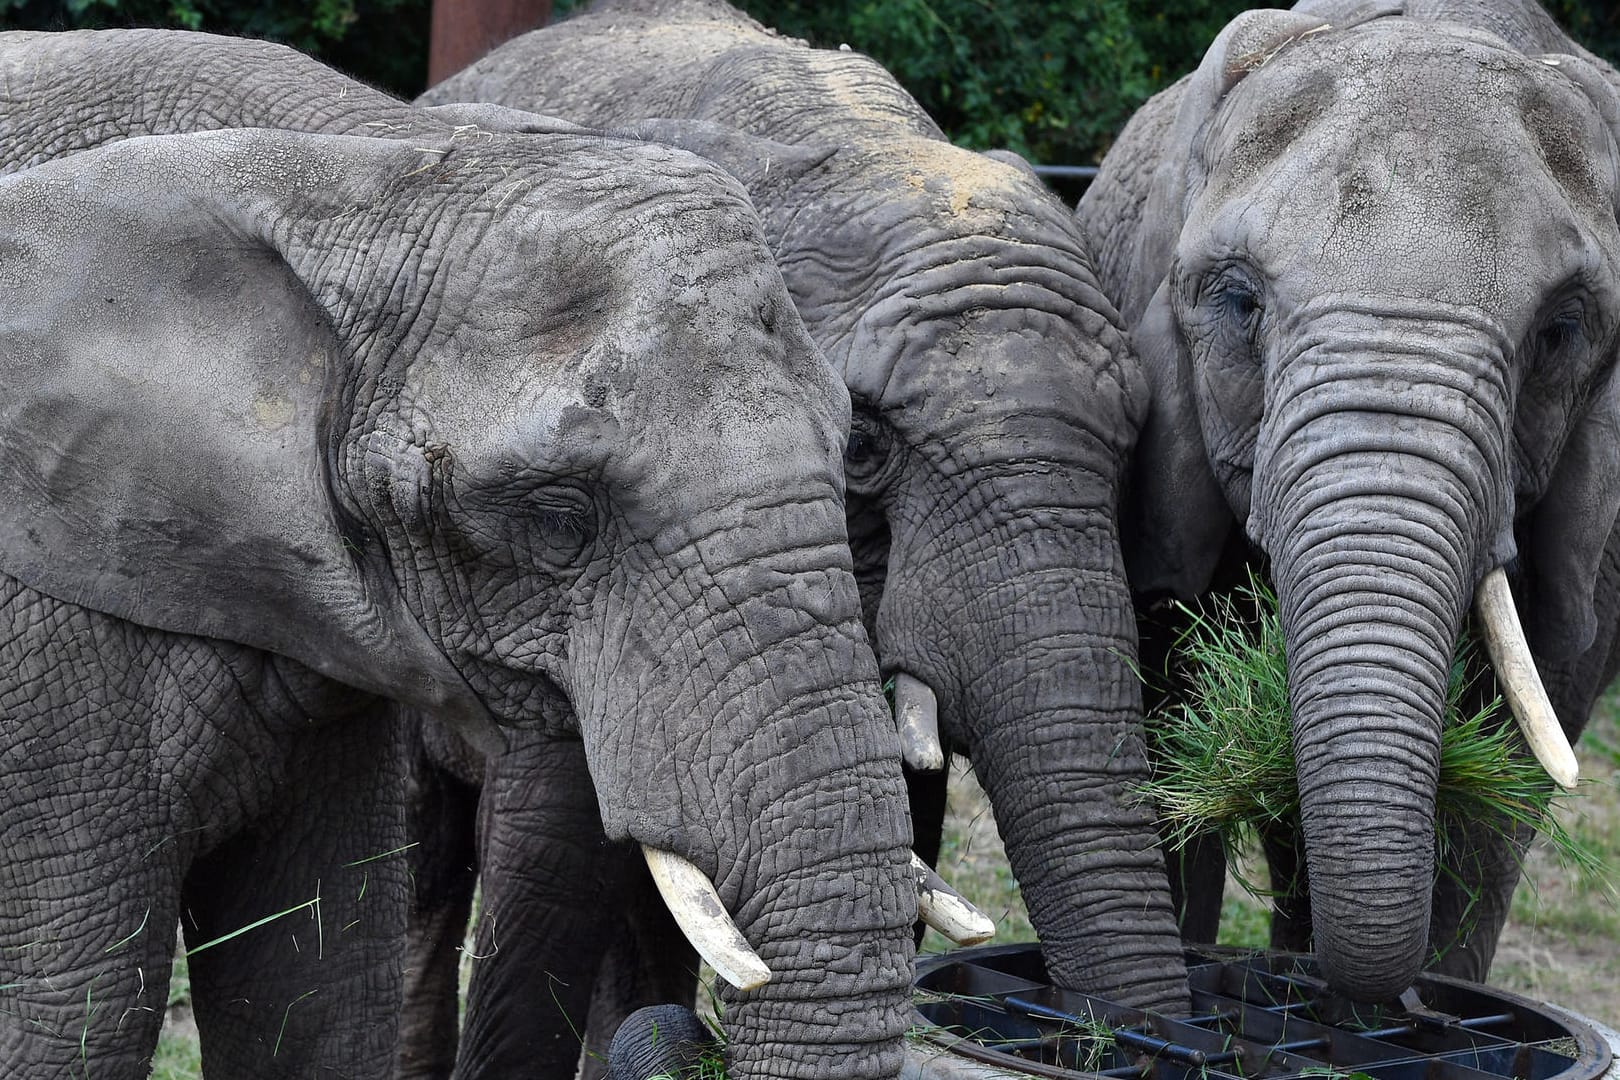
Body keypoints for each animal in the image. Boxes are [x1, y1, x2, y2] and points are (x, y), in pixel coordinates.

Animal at [0, 33, 933, 1080]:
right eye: (561, 517)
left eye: (851, 446)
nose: (687, 1037)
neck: (360, 165)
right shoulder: (52, 652)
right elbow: (72, 1016)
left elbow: (316, 993)